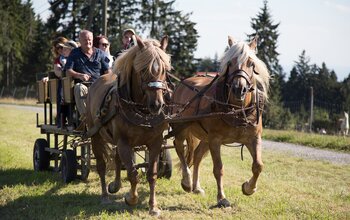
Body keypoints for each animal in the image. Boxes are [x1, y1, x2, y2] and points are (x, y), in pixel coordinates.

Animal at [85, 35, 172, 216]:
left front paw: (153, 206)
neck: (142, 112)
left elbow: (152, 174)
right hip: (95, 134)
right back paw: (105, 196)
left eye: (164, 70)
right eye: (143, 70)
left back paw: (115, 185)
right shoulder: (124, 142)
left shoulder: (156, 142)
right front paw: (131, 198)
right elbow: (132, 173)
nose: (157, 105)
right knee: (101, 165)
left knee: (118, 160)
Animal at [171, 35, 270, 208]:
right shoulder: (215, 140)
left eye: (251, 63)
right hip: (182, 129)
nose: (239, 89)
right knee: (180, 149)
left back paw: (196, 187)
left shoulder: (253, 138)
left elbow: (258, 165)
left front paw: (249, 188)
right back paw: (187, 182)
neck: (236, 111)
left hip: (205, 138)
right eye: (229, 63)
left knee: (196, 155)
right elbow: (218, 169)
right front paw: (222, 197)